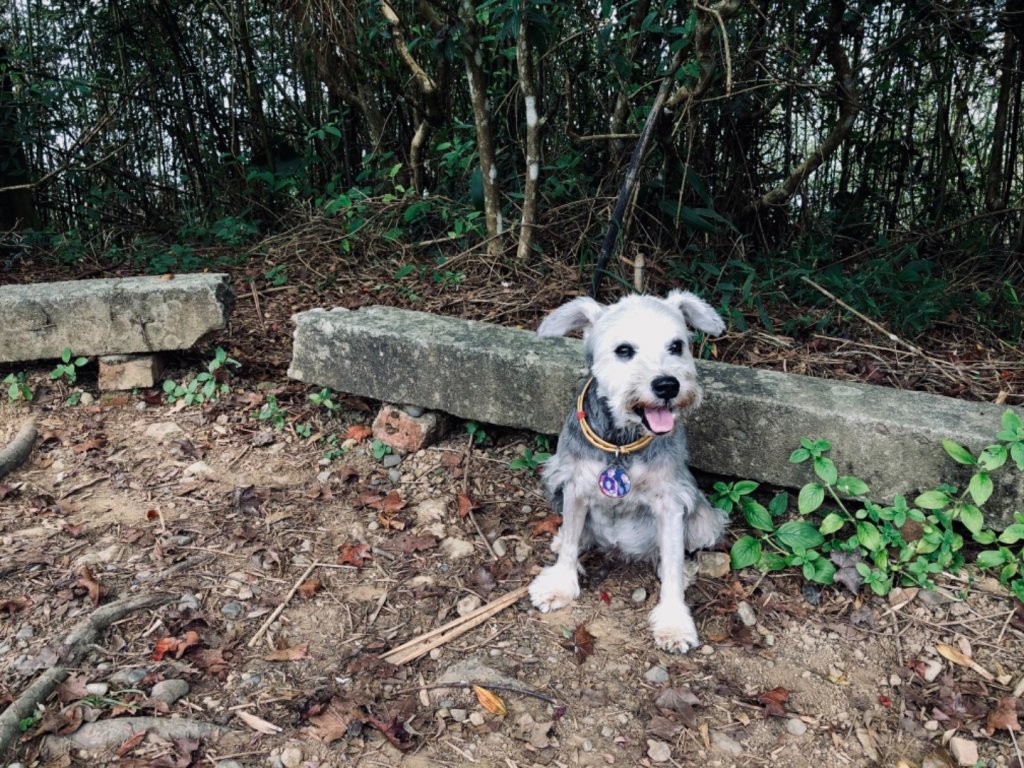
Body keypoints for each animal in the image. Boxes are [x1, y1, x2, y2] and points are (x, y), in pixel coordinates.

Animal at [528, 290, 729, 651]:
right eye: (624, 350)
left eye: (676, 345)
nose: (667, 385)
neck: (622, 442)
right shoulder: (575, 485)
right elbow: (570, 543)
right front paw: (560, 584)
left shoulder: (671, 503)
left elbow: (673, 563)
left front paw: (674, 623)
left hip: (703, 521)